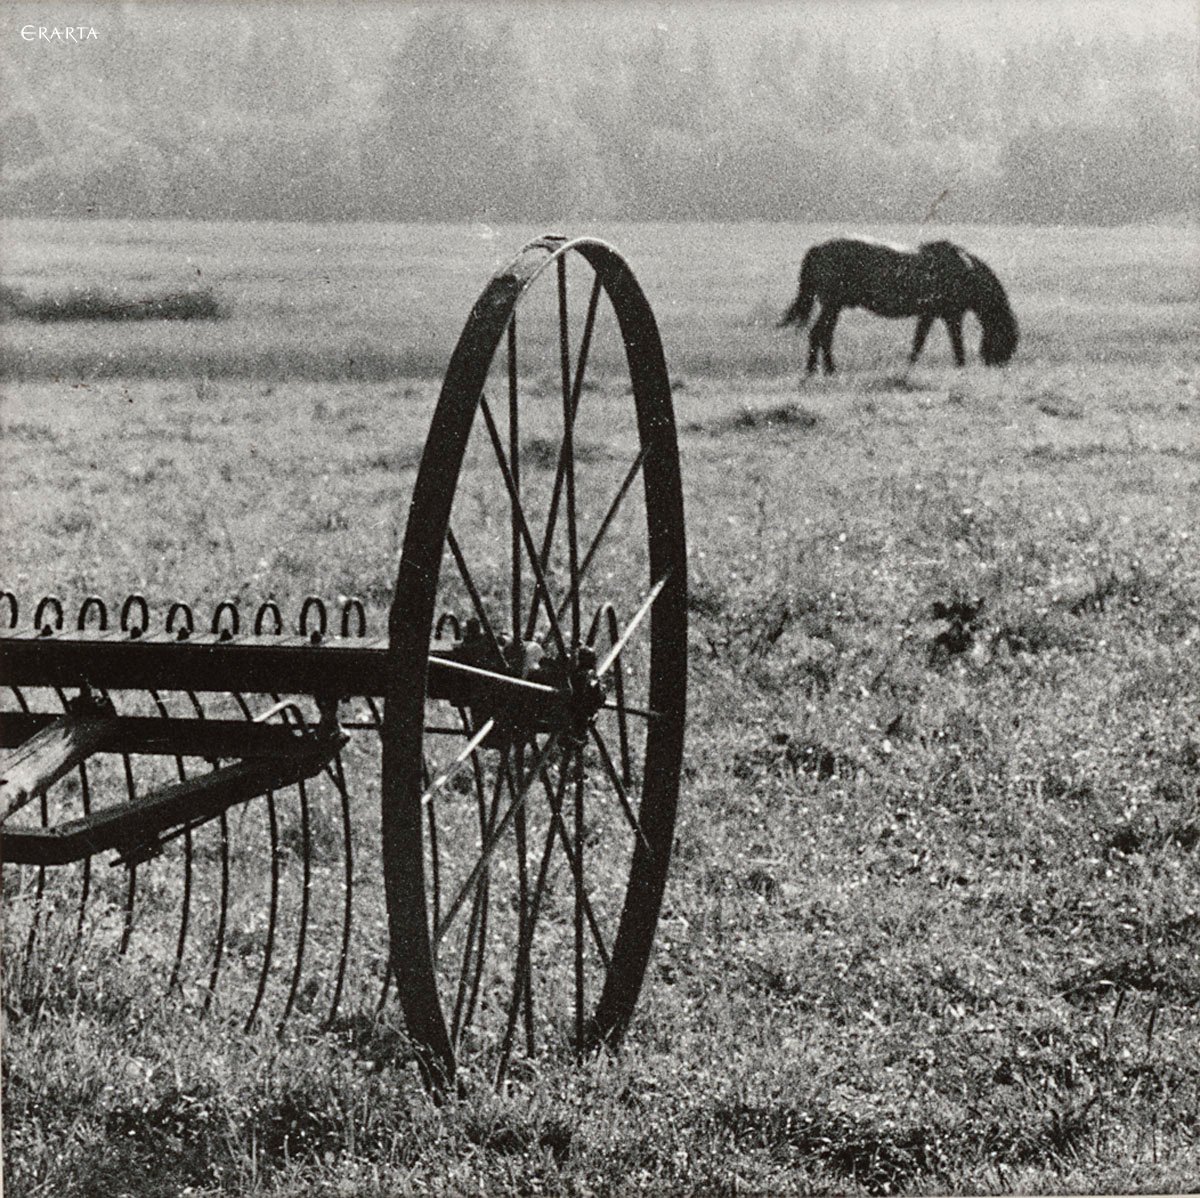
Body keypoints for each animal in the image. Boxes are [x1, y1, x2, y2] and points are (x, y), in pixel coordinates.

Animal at [777, 238, 1022, 374]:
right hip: (831, 305)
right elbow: (957, 344)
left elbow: (918, 342)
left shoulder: (928, 314)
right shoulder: (952, 315)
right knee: (818, 334)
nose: (998, 365)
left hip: (834, 306)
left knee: (824, 335)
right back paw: (816, 371)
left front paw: (909, 367)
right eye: (1007, 337)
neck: (965, 270)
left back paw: (827, 371)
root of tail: (819, 249)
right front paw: (961, 366)